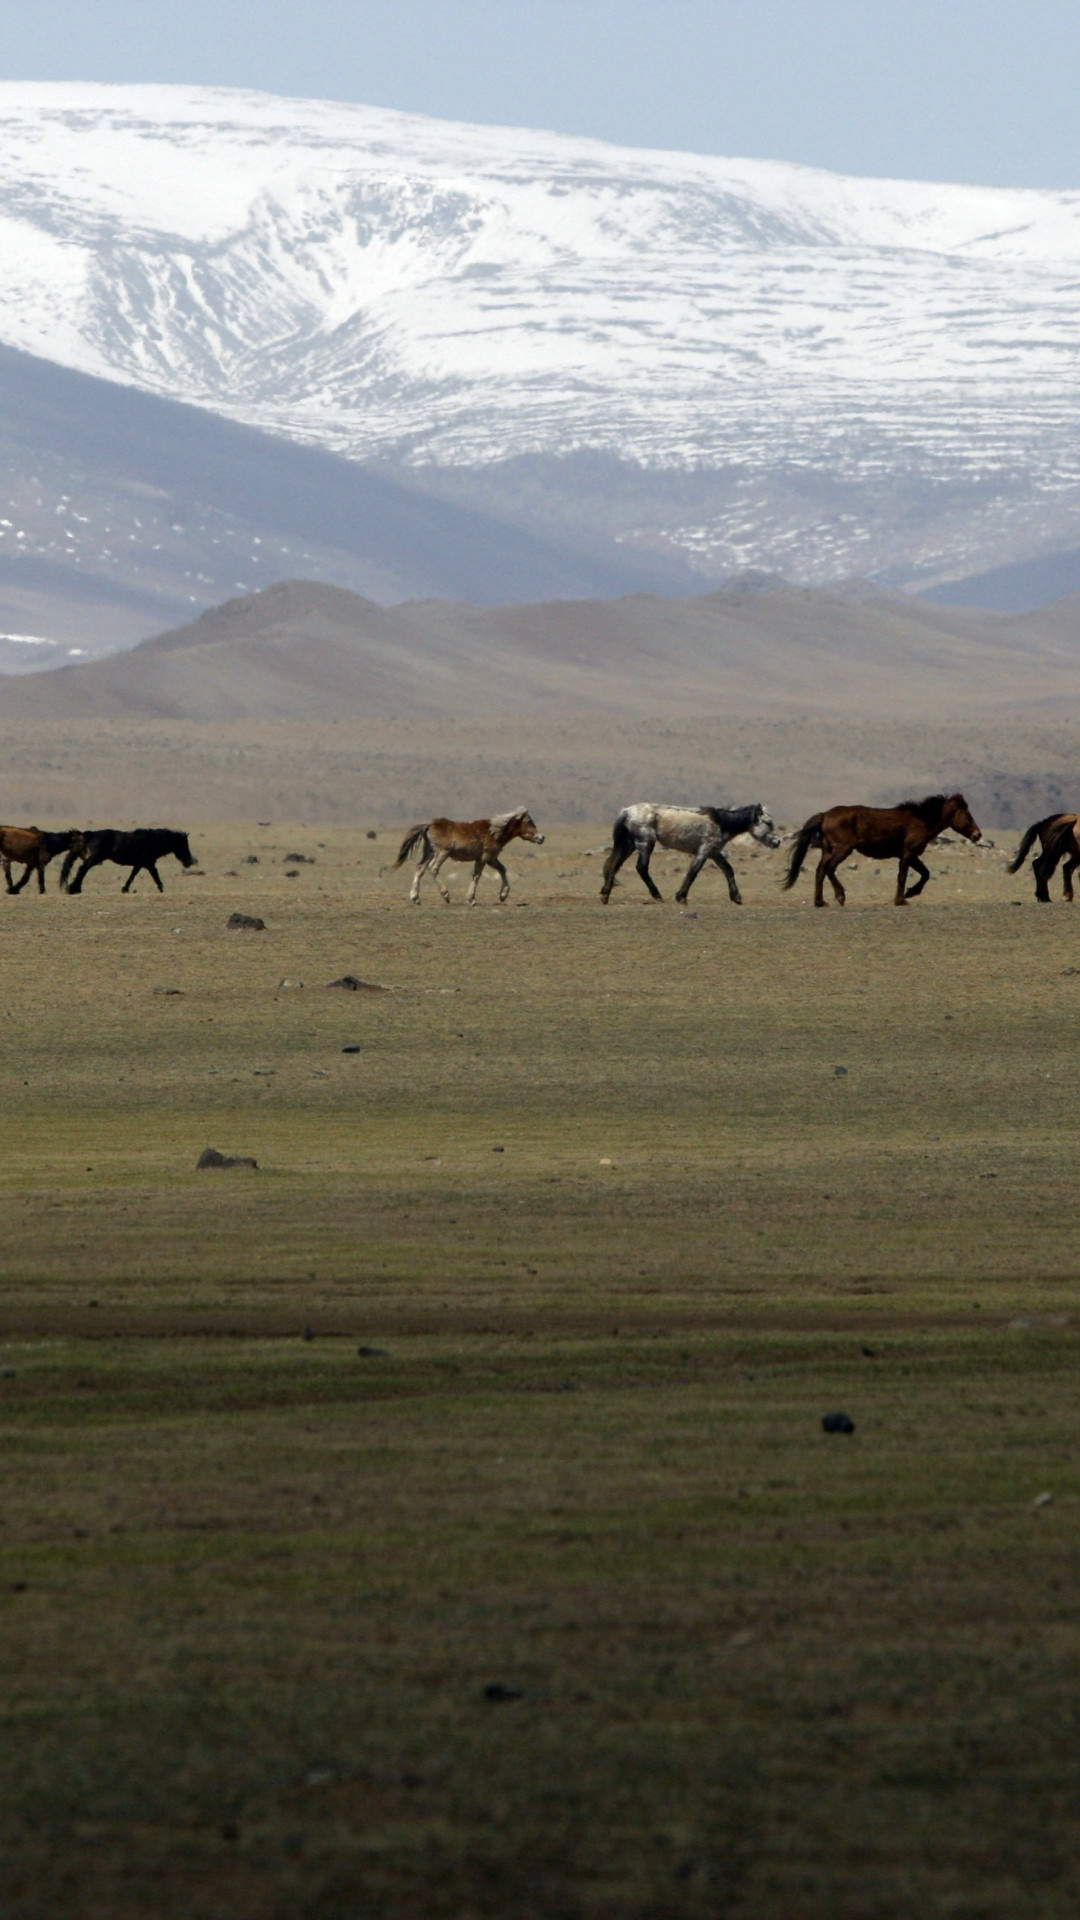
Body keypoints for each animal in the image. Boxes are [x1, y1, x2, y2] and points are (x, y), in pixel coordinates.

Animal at [61, 821, 195, 887]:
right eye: (184, 845)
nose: (189, 862)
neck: (154, 840)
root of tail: (89, 834)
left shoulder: (140, 864)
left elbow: (132, 875)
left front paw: (125, 889)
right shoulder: (149, 863)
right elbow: (155, 877)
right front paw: (161, 888)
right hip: (95, 858)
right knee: (83, 868)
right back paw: (74, 888)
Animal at [393, 806, 541, 902]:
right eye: (529, 822)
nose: (541, 837)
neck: (494, 832)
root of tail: (429, 825)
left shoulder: (492, 858)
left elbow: (502, 870)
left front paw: (503, 895)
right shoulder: (484, 858)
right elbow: (477, 875)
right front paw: (471, 899)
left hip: (429, 852)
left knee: (420, 868)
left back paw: (415, 897)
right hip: (442, 853)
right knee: (433, 868)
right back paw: (445, 894)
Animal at [776, 798, 980, 910]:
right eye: (968, 815)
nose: (978, 835)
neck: (921, 820)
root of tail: (825, 814)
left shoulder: (910, 855)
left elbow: (925, 874)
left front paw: (911, 893)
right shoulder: (908, 853)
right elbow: (903, 876)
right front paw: (901, 899)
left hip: (828, 850)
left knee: (821, 871)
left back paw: (820, 902)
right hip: (843, 849)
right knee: (829, 868)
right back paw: (840, 896)